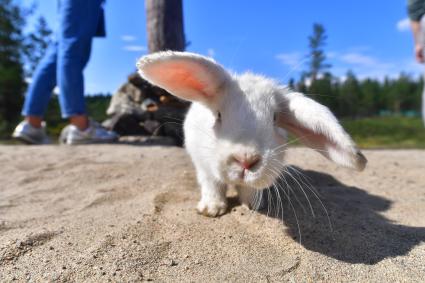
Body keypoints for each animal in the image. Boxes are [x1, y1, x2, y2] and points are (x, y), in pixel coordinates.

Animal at [137, 51, 366, 217]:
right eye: (218, 115)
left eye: (274, 118)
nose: (246, 160)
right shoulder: (204, 166)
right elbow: (212, 185)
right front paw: (211, 210)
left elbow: (250, 189)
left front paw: (254, 206)